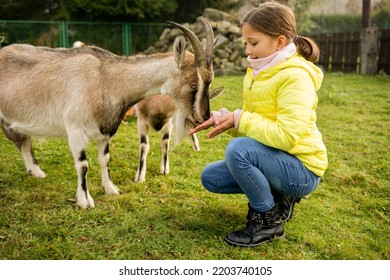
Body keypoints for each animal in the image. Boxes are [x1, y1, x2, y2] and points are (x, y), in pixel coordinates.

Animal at [0, 17, 218, 208]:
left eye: (210, 81)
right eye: (193, 84)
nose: (204, 117)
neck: (106, 78)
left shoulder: (105, 130)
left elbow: (105, 159)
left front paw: (111, 190)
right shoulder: (75, 129)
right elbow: (83, 164)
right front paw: (85, 201)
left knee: (24, 142)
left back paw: (37, 173)